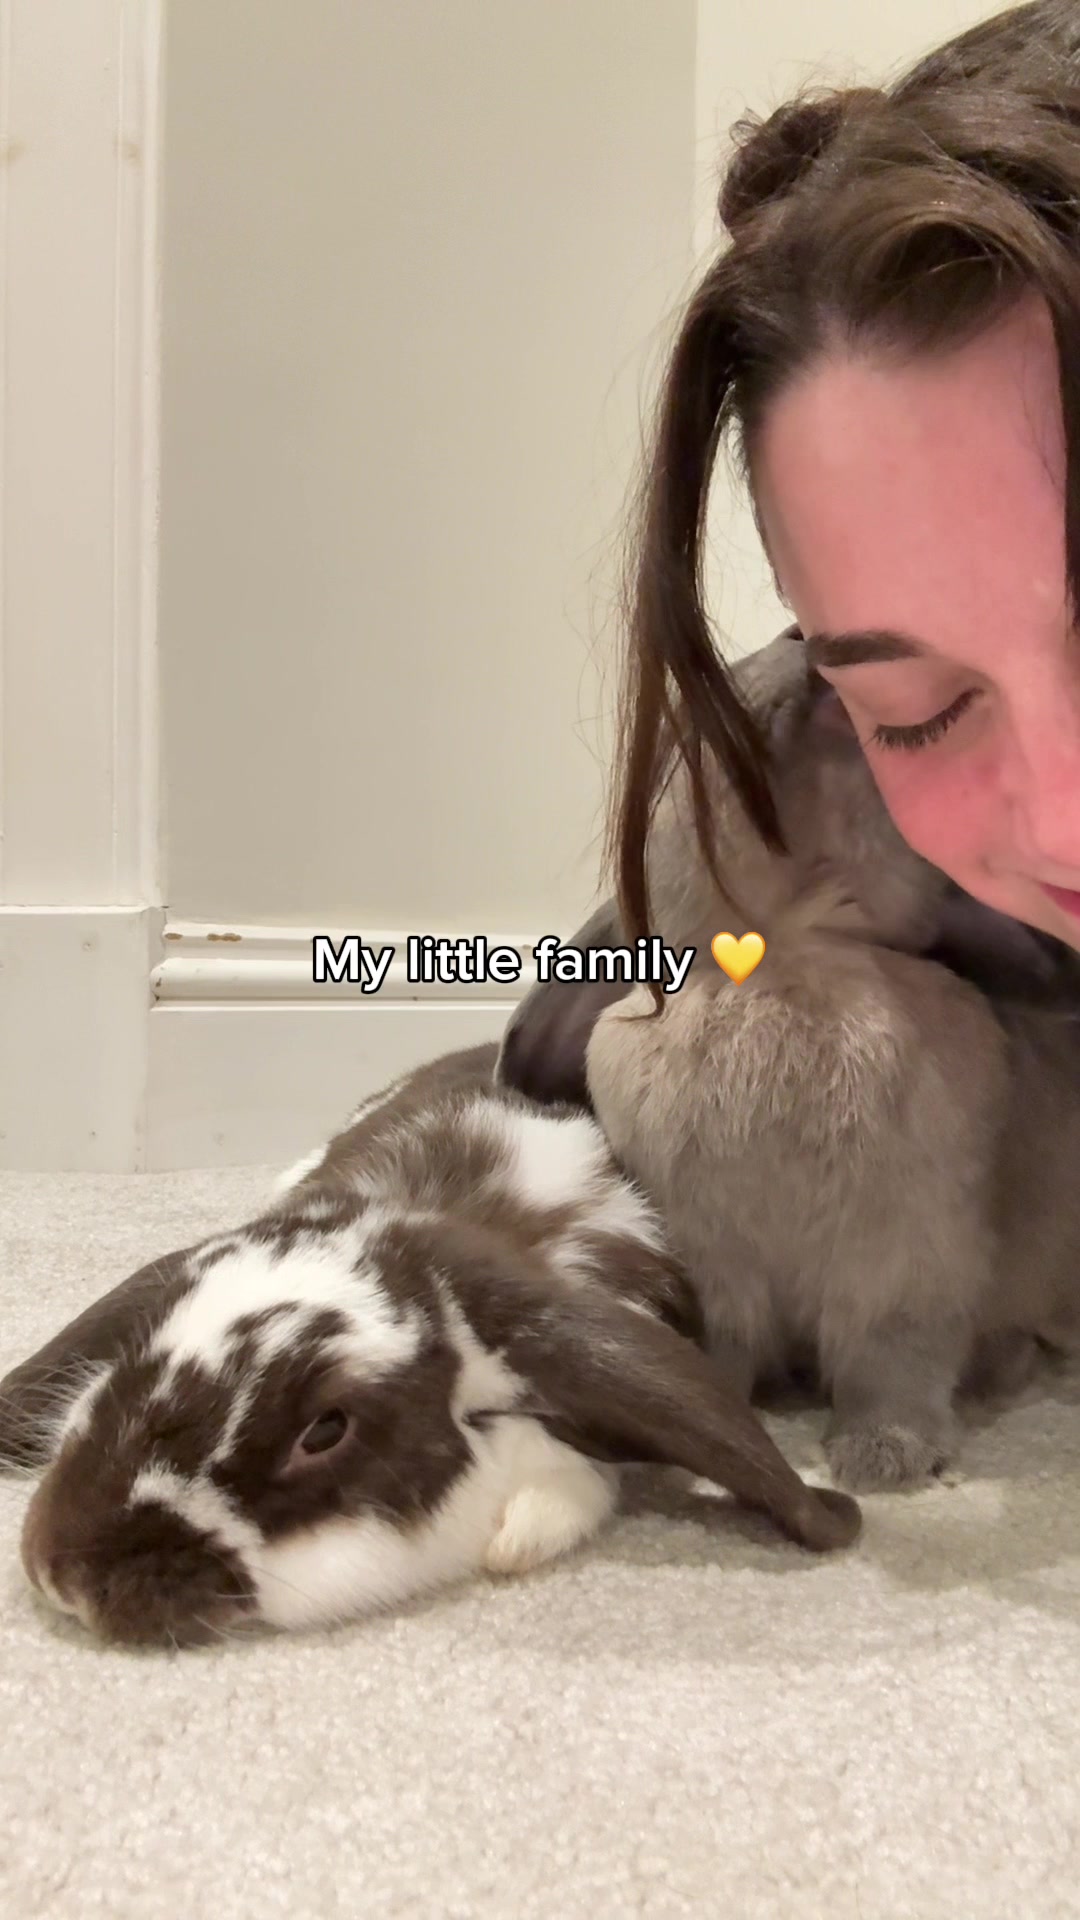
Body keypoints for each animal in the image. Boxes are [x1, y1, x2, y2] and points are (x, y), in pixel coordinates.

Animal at [500, 633, 1080, 1494]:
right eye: (685, 740)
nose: (798, 641)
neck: (787, 950)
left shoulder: (904, 1275)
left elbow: (890, 1369)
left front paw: (882, 1459)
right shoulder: (717, 1279)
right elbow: (725, 1360)